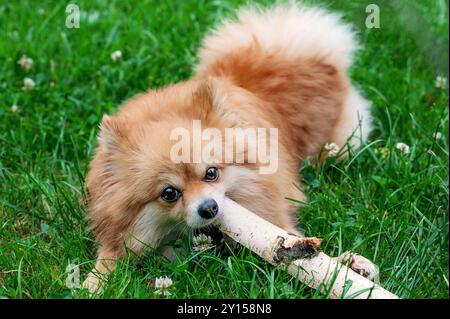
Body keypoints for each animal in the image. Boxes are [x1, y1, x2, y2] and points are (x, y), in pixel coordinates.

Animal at [82, 2, 374, 292]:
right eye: (169, 193)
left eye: (211, 173)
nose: (209, 207)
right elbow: (110, 256)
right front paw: (93, 281)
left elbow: (294, 241)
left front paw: (348, 264)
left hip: (338, 146)